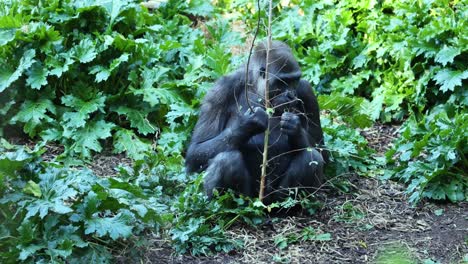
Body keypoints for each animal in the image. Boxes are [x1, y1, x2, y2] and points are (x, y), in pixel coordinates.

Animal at [185, 40, 328, 202]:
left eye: (294, 80)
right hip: (250, 198)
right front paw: (248, 124)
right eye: (282, 82)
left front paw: (295, 129)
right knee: (227, 159)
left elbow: (322, 151)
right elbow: (196, 151)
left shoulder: (306, 90)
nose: (291, 95)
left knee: (311, 158)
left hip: (274, 197)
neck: (256, 88)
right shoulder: (219, 91)